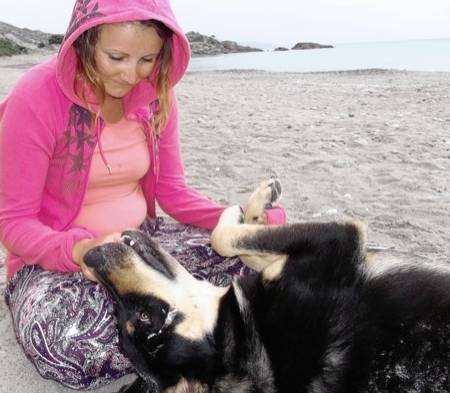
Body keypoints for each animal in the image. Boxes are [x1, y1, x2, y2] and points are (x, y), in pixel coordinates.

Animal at [84, 179, 450, 390]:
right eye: (147, 317)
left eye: (128, 319)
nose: (90, 256)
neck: (243, 330)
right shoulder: (337, 244)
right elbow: (224, 238)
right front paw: (251, 207)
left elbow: (241, 248)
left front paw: (257, 211)